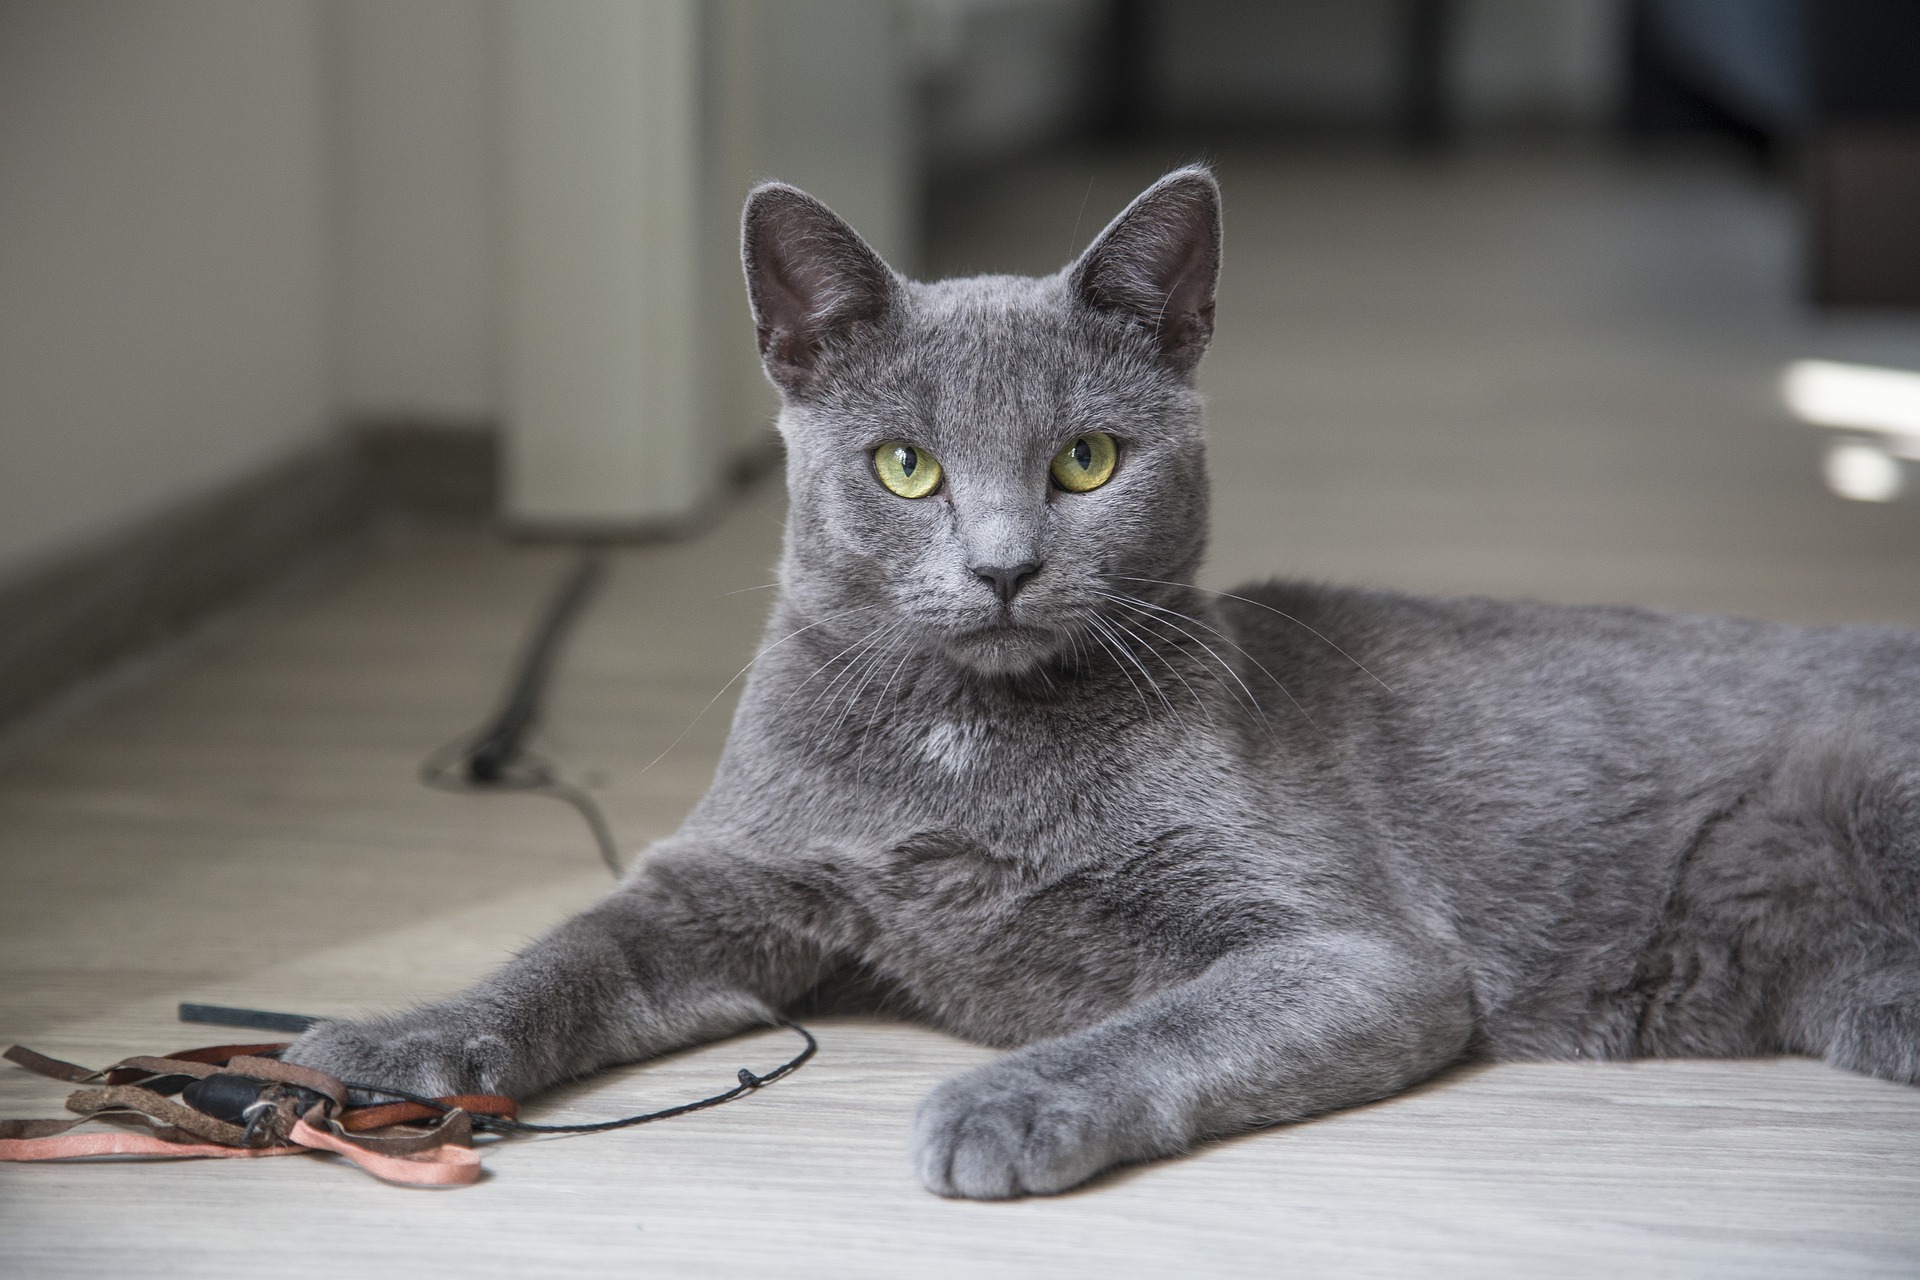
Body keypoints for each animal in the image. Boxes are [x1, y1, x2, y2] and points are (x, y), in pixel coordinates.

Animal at [288, 169, 1920, 1205]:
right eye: (906, 465)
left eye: (1086, 460)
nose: (1006, 565)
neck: (963, 745)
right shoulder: (728, 880)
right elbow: (564, 951)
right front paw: (385, 1041)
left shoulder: (1355, 949)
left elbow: (1167, 1021)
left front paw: (1004, 1104)